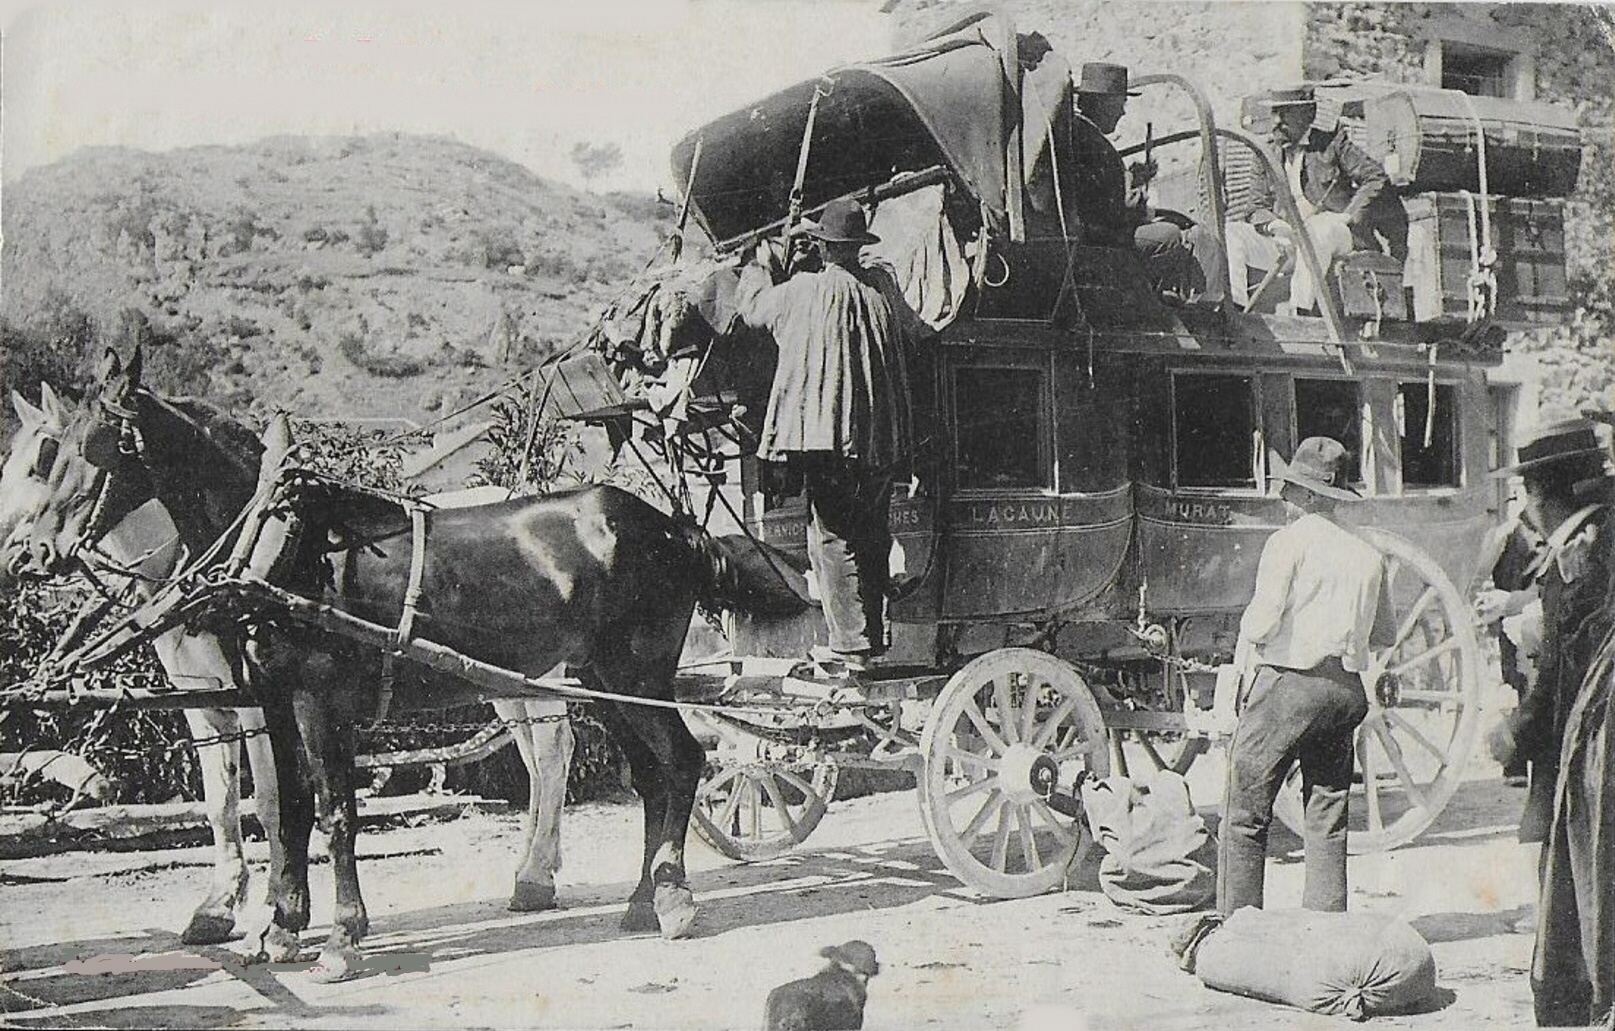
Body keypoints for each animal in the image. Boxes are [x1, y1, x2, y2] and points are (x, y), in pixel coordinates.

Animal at [10, 346, 773, 980]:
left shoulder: (317, 702)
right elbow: (285, 809)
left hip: (637, 674)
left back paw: (671, 897)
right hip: (601, 682)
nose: (30, 554)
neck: (282, 546)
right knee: (648, 775)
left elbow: (333, 811)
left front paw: (342, 938)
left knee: (680, 761)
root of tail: (674, 525)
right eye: (51, 450)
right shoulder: (271, 700)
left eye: (79, 449)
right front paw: (282, 927)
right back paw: (641, 899)